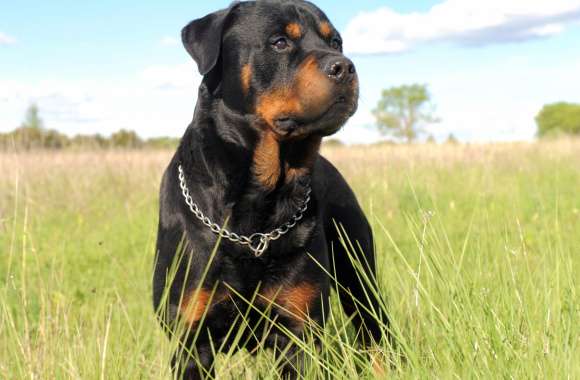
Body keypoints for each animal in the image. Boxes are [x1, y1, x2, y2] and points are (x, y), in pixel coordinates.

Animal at [153, 1, 390, 378]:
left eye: (335, 42)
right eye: (280, 42)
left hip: (359, 273)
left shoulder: (297, 332)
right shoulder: (191, 339)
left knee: (375, 334)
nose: (344, 66)